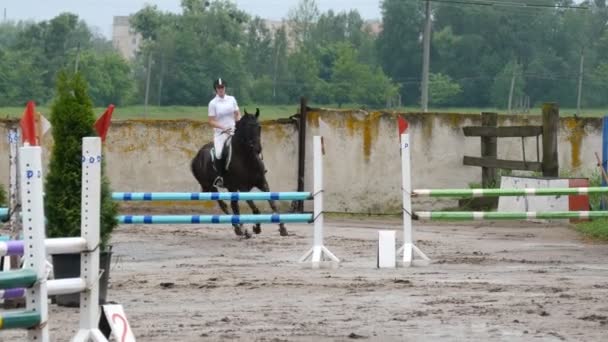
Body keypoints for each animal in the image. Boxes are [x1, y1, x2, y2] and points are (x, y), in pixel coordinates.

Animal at [190, 109, 288, 238]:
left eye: (259, 127)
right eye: (246, 127)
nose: (258, 149)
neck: (247, 158)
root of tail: (197, 156)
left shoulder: (262, 183)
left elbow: (273, 204)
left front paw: (282, 228)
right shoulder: (243, 187)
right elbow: (255, 208)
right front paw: (256, 227)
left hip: (231, 187)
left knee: (234, 205)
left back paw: (241, 230)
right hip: (211, 187)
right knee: (224, 206)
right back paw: (240, 229)